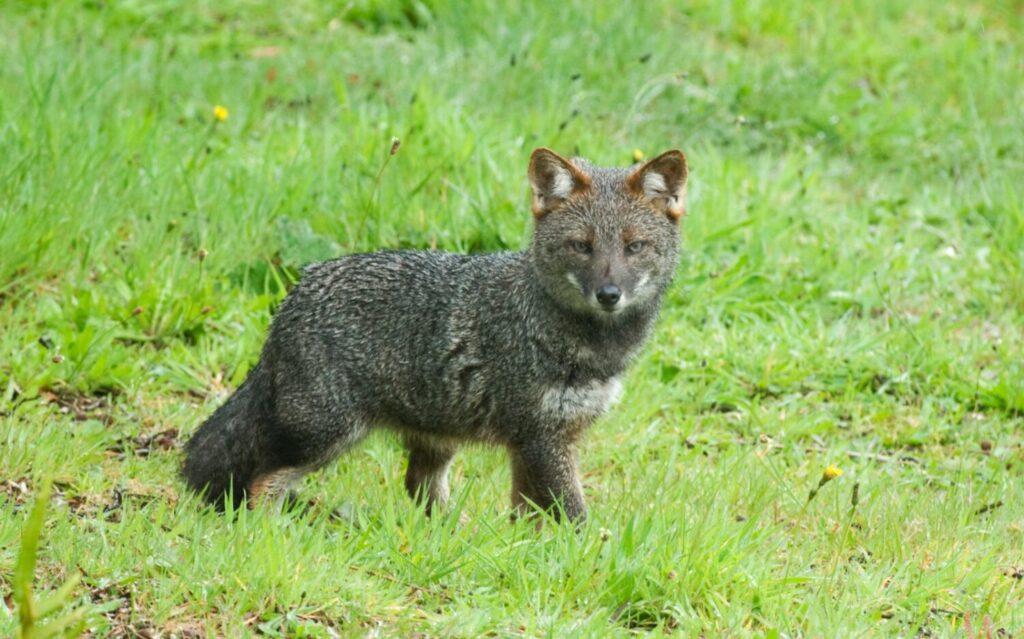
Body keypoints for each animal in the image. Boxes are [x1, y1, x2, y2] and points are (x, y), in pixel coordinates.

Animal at [183, 147, 688, 522]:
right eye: (581, 247)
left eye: (634, 247)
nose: (609, 294)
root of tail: (294, 295)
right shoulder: (542, 438)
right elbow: (573, 514)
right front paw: (586, 555)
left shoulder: (542, 440)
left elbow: (528, 513)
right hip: (329, 434)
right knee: (262, 483)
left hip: (435, 436)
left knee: (417, 487)